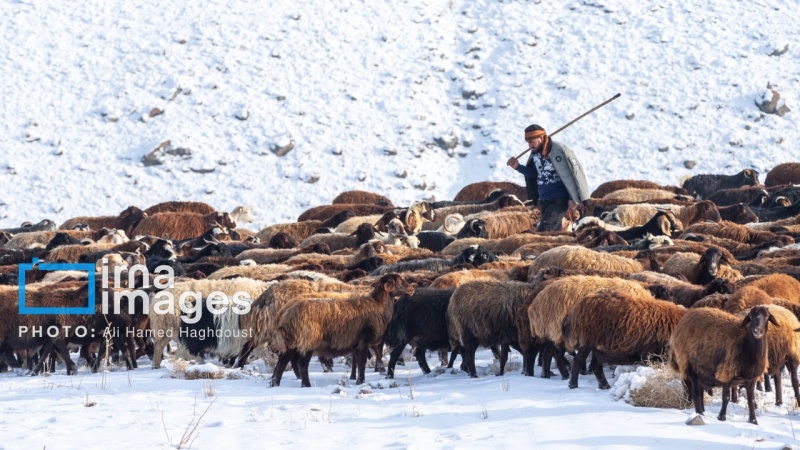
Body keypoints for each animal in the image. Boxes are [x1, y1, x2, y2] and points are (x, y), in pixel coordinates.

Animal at [271, 274, 412, 386]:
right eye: (399, 281)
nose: (411, 288)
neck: (378, 304)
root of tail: (284, 316)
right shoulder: (364, 341)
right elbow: (362, 363)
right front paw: (361, 381)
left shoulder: (357, 344)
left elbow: (358, 362)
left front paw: (357, 380)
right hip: (308, 340)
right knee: (301, 364)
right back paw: (306, 385)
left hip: (291, 343)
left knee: (281, 363)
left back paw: (275, 384)